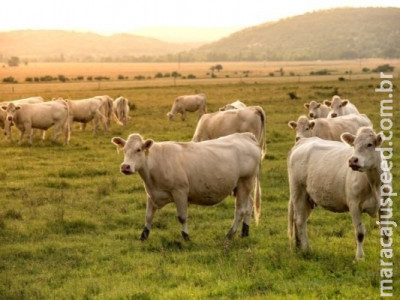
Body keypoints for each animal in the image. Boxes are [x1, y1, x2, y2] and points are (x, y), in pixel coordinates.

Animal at [111, 132, 262, 240]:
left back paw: (230, 234)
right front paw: (143, 235)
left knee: (240, 210)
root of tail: (246, 136)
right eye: (124, 150)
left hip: (245, 182)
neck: (155, 163)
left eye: (138, 150)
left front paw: (186, 236)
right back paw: (244, 232)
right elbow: (148, 216)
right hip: (239, 186)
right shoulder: (152, 193)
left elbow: (182, 217)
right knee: (249, 205)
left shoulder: (180, 192)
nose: (125, 167)